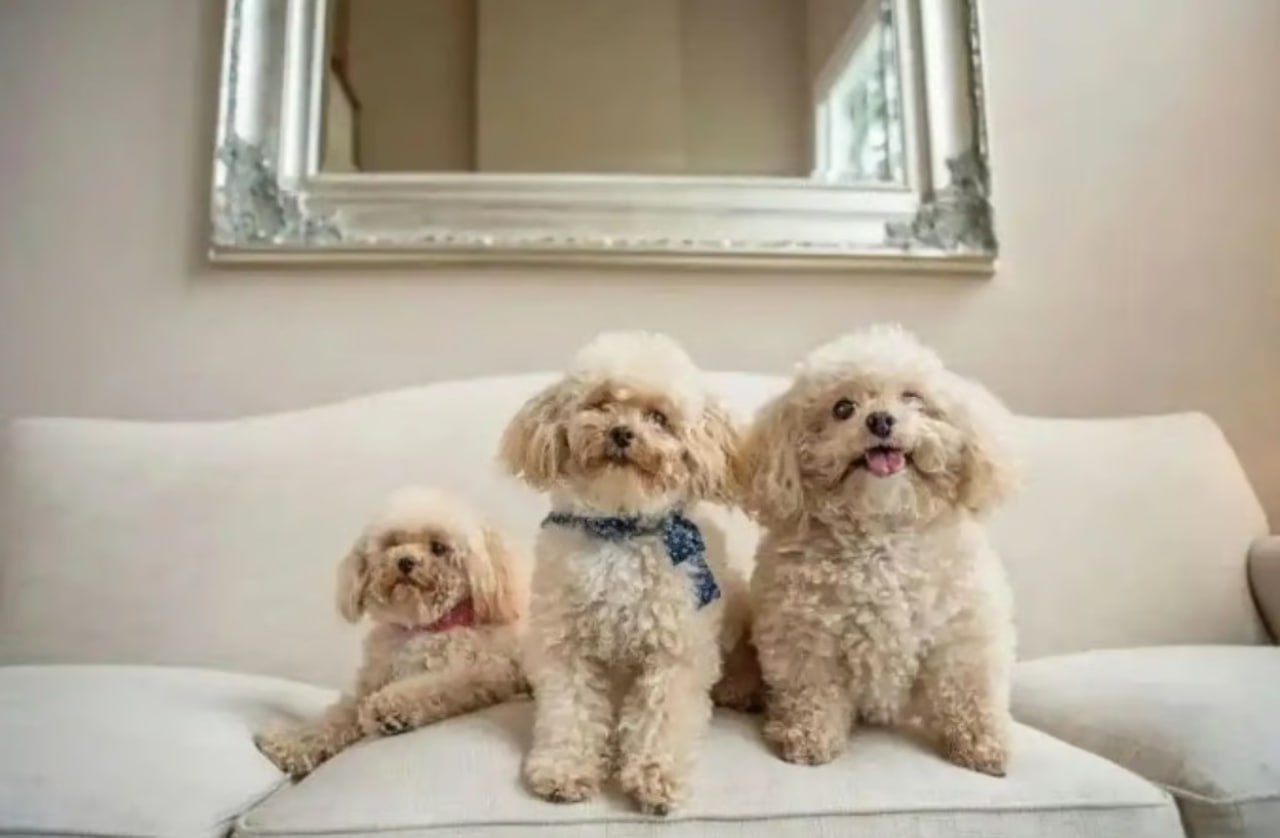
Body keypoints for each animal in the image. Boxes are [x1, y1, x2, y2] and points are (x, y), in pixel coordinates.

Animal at [255, 486, 528, 778]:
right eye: (392, 543)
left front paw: (388, 708)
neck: (424, 627)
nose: (405, 561)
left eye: (438, 547)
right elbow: (335, 717)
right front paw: (289, 743)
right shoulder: (369, 684)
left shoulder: (488, 671)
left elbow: (437, 685)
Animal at [499, 331, 758, 814]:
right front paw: (564, 771)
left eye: (659, 417)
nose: (621, 433)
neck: (619, 528)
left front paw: (657, 780)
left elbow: (661, 719)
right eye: (600, 403)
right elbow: (571, 712)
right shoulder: (567, 647)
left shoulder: (675, 652)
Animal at [740, 324, 1019, 775]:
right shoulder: (802, 632)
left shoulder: (963, 632)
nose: (880, 420)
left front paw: (983, 745)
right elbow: (810, 690)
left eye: (912, 398)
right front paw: (808, 739)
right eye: (842, 408)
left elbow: (970, 690)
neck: (881, 536)